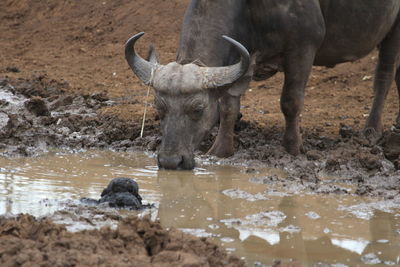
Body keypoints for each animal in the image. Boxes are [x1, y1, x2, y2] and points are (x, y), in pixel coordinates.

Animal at [125, 0, 400, 170]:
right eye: (159, 109)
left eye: (198, 109)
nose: (171, 162)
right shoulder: (240, 58)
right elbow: (228, 106)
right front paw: (220, 149)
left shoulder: (302, 48)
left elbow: (290, 101)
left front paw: (292, 147)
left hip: (393, 31)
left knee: (385, 74)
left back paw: (372, 130)